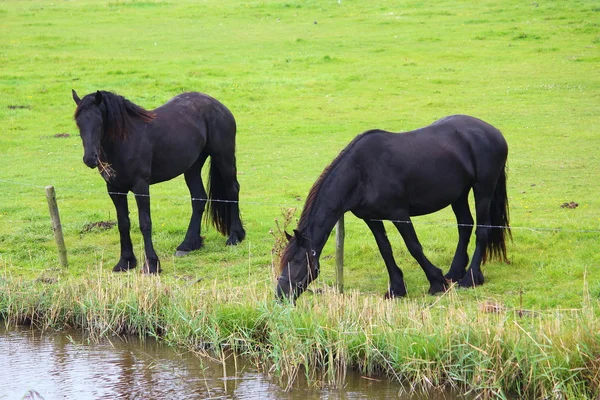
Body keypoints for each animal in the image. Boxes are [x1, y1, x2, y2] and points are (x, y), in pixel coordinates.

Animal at [71, 89, 245, 274]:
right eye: (79, 123)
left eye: (99, 122)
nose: (90, 159)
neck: (125, 141)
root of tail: (218, 105)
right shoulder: (114, 189)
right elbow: (123, 224)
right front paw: (125, 261)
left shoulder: (141, 186)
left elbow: (145, 223)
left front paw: (152, 264)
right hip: (192, 167)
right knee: (199, 198)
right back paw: (188, 245)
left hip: (223, 157)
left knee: (232, 190)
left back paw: (235, 237)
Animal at [276, 114, 510, 302]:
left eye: (298, 261)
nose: (281, 295)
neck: (360, 173)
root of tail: (495, 133)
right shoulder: (371, 218)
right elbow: (385, 249)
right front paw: (397, 289)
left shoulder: (399, 214)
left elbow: (414, 246)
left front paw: (436, 282)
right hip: (459, 194)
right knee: (465, 226)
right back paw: (454, 272)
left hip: (483, 189)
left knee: (482, 229)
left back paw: (470, 278)